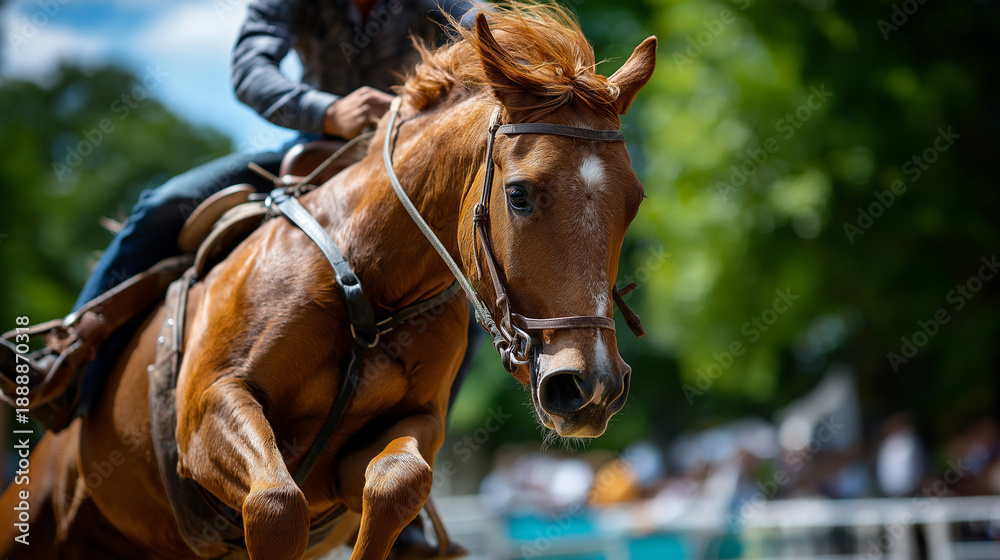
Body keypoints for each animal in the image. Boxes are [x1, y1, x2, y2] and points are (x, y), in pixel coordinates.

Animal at [0, 4, 656, 559]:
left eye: (634, 203)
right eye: (519, 195)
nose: (592, 386)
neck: (369, 279)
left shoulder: (404, 430)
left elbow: (397, 481)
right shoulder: (208, 410)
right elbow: (275, 503)